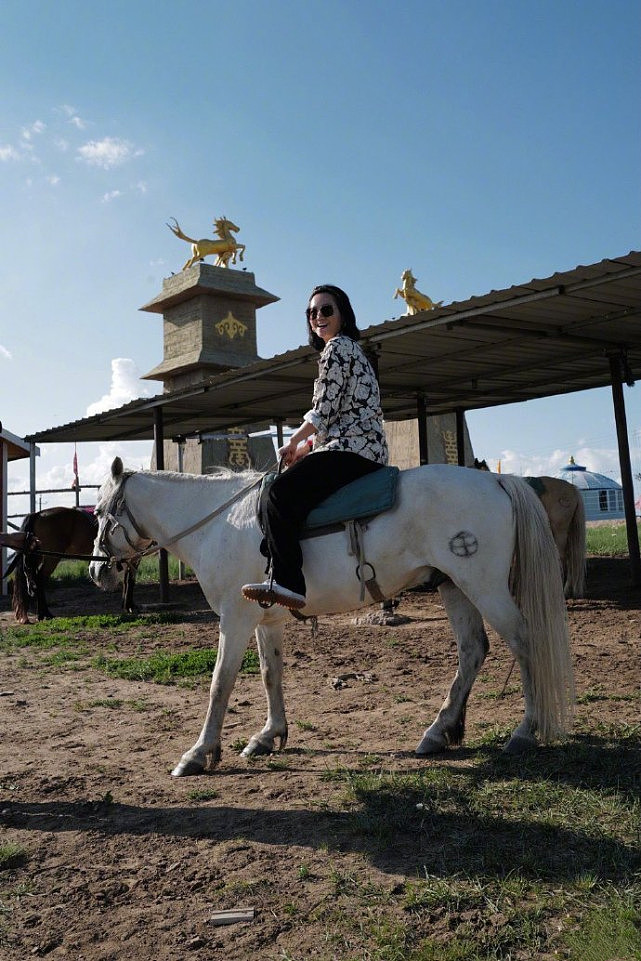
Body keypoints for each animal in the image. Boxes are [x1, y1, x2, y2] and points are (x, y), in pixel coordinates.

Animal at [2, 506, 138, 628]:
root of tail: (38, 514)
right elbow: (130, 579)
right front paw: (130, 606)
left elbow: (126, 580)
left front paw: (125, 605)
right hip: (52, 558)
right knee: (40, 579)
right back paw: (44, 614)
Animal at [87, 454, 572, 776]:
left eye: (99, 513)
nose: (96, 571)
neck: (220, 522)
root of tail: (498, 480)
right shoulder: (266, 619)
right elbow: (271, 675)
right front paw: (269, 735)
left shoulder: (235, 618)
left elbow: (220, 683)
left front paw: (199, 753)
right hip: (454, 586)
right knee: (473, 651)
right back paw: (439, 731)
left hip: (483, 585)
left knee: (525, 643)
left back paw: (524, 732)